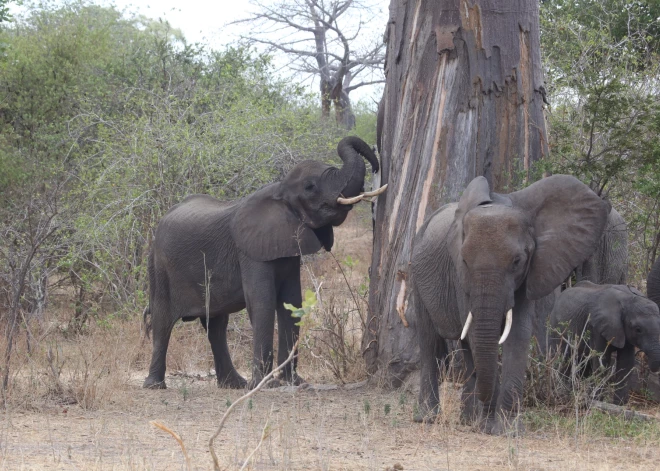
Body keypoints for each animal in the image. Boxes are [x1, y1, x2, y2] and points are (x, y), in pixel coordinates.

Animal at [142, 136, 384, 390]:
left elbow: (291, 302)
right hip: (158, 265)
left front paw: (294, 382)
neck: (279, 191)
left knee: (216, 325)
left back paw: (234, 384)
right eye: (309, 187)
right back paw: (155, 386)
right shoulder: (249, 251)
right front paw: (265, 385)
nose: (377, 163)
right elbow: (262, 302)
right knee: (162, 321)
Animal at [412, 174, 608, 436]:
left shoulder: (531, 270)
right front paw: (488, 425)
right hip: (415, 273)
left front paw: (508, 430)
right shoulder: (460, 277)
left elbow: (518, 333)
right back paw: (428, 418)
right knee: (429, 341)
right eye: (464, 260)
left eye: (517, 261)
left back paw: (467, 420)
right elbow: (476, 334)